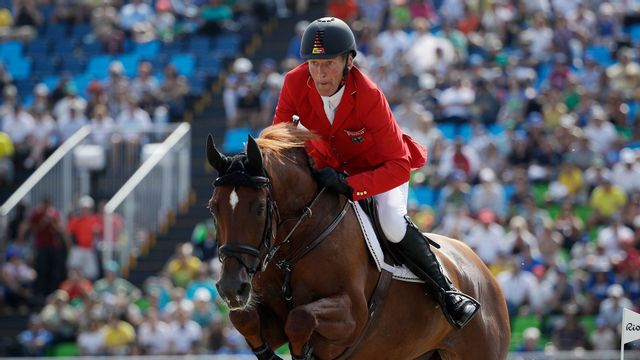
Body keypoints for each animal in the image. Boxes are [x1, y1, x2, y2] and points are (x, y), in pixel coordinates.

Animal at [205, 124, 510, 360]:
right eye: (213, 207)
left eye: (259, 208)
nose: (231, 288)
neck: (293, 249)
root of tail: (483, 271)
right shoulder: (269, 314)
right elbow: (243, 318)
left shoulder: (352, 316)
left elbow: (300, 318)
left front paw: (302, 353)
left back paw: (458, 304)